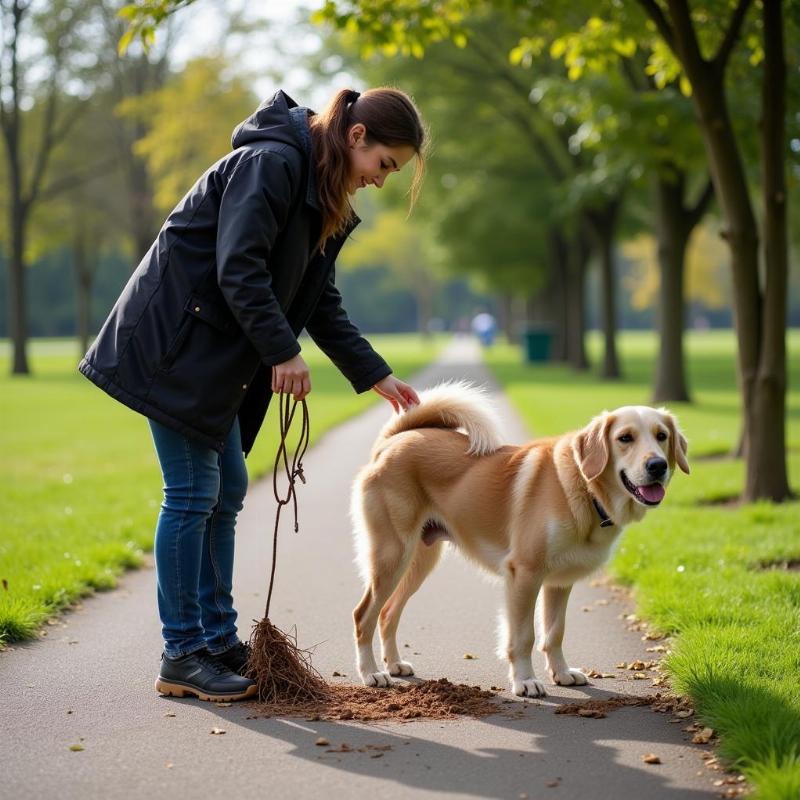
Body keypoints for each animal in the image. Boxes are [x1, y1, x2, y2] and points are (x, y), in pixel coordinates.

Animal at [350, 382, 688, 692]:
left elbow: (554, 633)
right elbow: (524, 636)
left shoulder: (559, 582)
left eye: (661, 436)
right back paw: (371, 674)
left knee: (388, 613)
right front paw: (525, 680)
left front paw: (561, 673)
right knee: (363, 616)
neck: (583, 487)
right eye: (625, 438)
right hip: (392, 556)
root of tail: (393, 440)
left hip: (419, 561)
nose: (657, 465)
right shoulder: (524, 574)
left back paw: (394, 664)